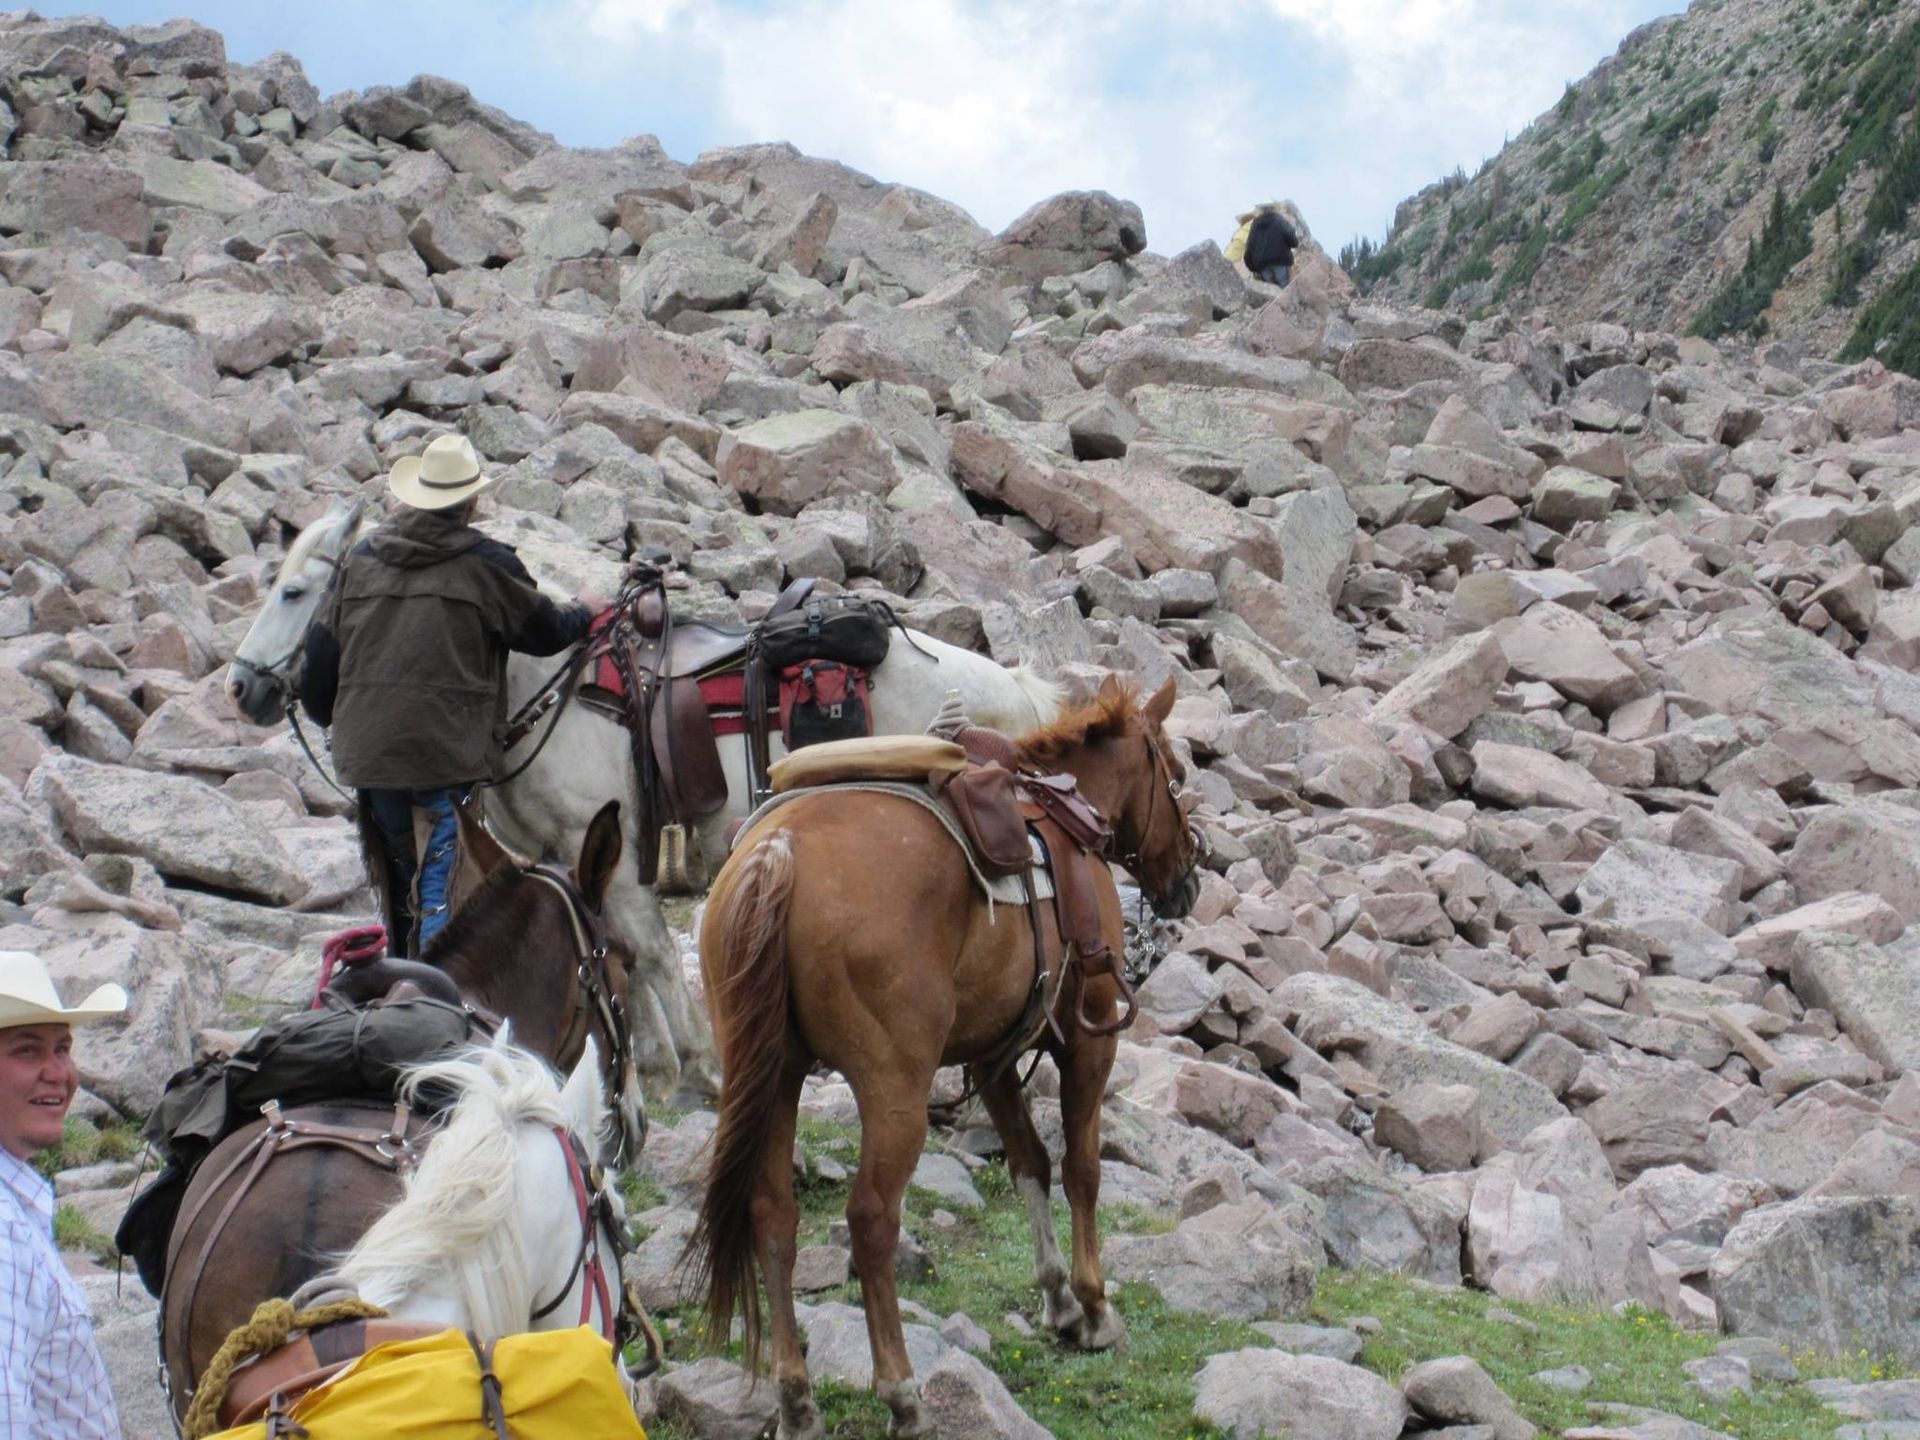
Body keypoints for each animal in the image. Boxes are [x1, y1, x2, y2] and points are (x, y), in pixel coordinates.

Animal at [223, 497, 1066, 1099]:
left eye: (295, 590)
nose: (241, 688)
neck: (546, 690)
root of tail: (1013, 689)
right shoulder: (569, 857)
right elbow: (609, 943)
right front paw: (657, 1064)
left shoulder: (612, 845)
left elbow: (651, 951)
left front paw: (699, 1064)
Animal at [682, 677, 1202, 1440]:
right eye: (1178, 773)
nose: (1187, 881)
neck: (1068, 812)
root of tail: (778, 851)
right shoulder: (1090, 1040)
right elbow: (1079, 1170)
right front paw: (1094, 1307)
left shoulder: (992, 1056)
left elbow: (1028, 1164)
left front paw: (1058, 1303)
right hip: (893, 1088)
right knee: (871, 1220)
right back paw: (903, 1395)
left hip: (772, 1076)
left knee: (773, 1213)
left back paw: (797, 1401)